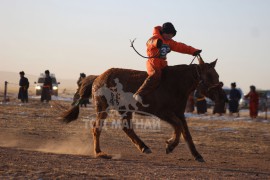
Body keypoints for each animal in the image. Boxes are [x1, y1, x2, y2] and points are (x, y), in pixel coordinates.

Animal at [62, 58, 223, 162]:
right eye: (209, 75)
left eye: (217, 74)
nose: (220, 96)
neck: (175, 84)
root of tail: (98, 77)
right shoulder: (163, 113)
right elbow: (178, 127)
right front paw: (170, 145)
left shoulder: (179, 113)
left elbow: (186, 133)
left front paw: (197, 155)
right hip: (103, 108)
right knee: (97, 128)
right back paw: (100, 153)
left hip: (124, 110)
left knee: (126, 128)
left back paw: (143, 147)